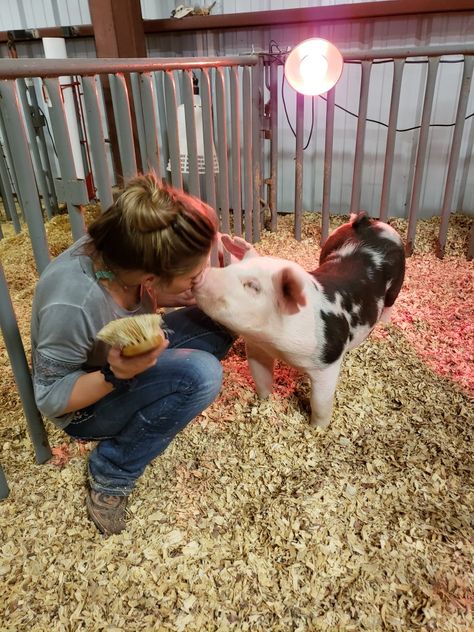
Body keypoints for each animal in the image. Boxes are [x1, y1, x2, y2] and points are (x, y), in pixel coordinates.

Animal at [193, 214, 404, 430]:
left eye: (252, 286)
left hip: (398, 279)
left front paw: (317, 429)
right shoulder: (257, 349)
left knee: (389, 303)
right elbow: (261, 378)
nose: (201, 275)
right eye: (229, 267)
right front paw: (264, 402)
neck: (277, 346)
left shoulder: (328, 362)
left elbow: (320, 403)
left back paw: (385, 324)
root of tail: (369, 223)